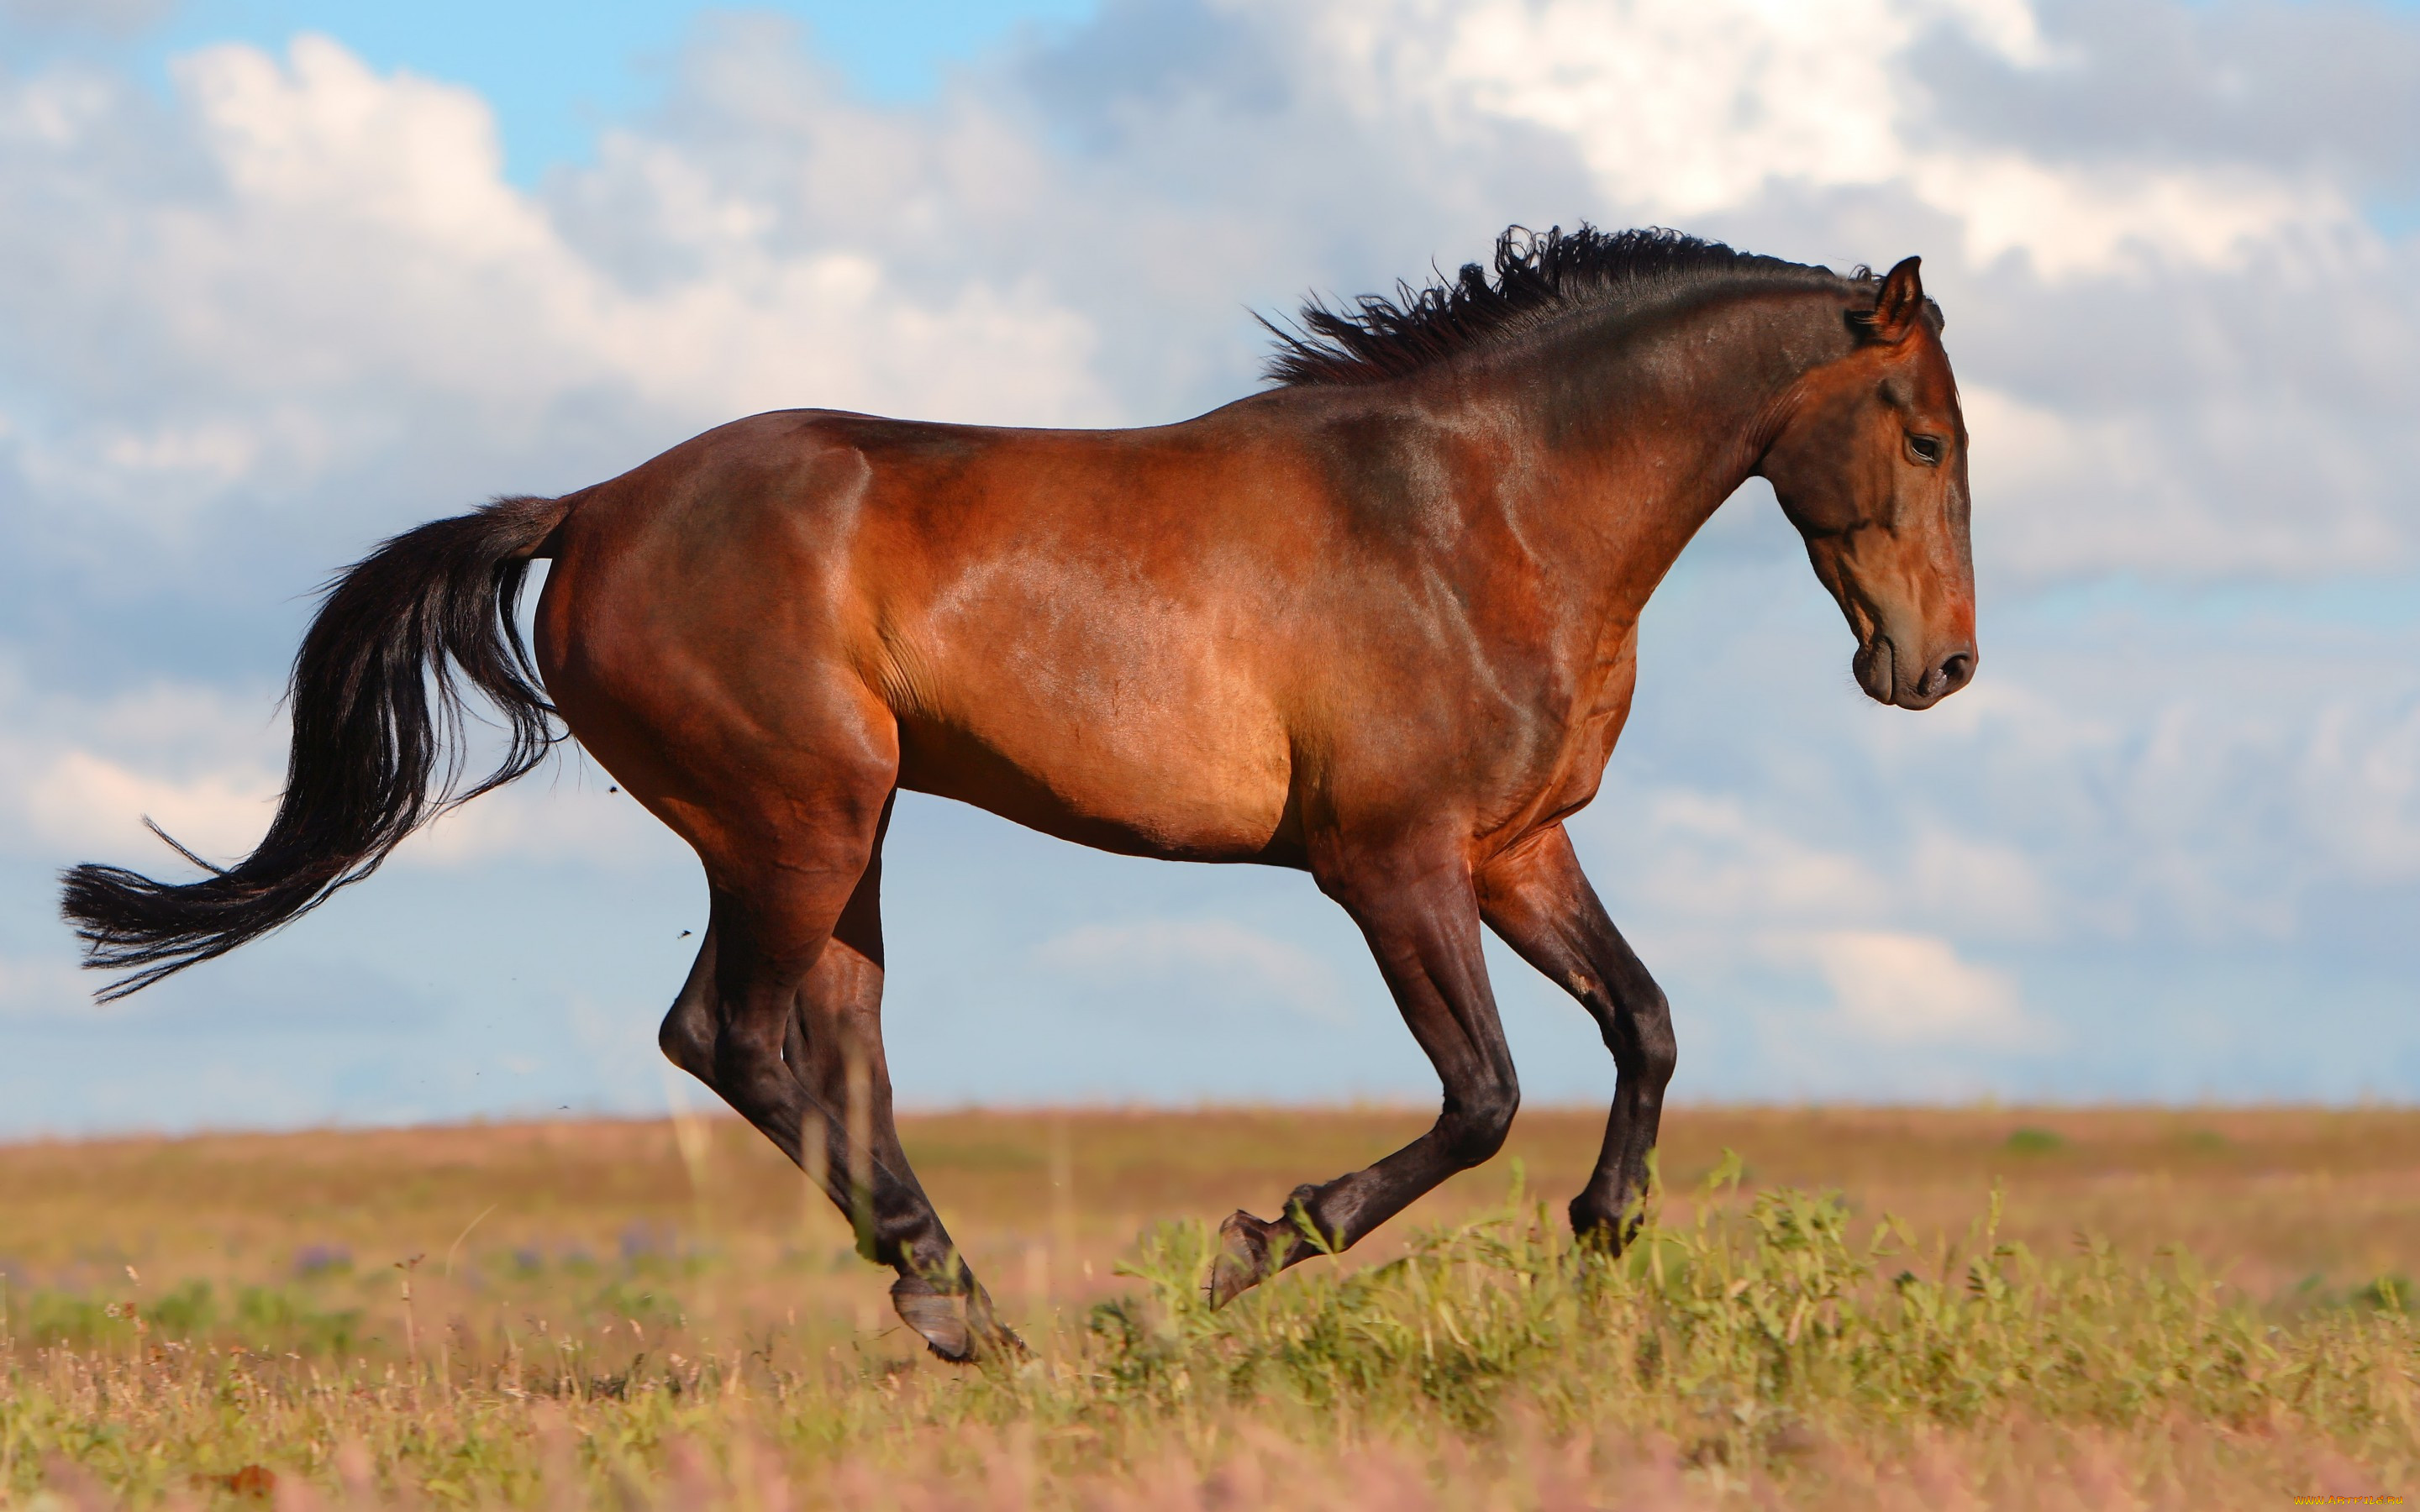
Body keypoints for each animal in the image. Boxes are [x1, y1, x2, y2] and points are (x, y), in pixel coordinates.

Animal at [66, 227, 1975, 1364]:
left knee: (835, 1056)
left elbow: (1643, 1024)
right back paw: (960, 1304)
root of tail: (592, 508)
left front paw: (1602, 1245)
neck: (1474, 514)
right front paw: (1248, 1249)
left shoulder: (1517, 849)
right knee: (727, 1038)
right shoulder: (1389, 863)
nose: (1938, 669)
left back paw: (961, 1302)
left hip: (844, 842)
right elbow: (1484, 1094)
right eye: (1927, 436)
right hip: (801, 820)